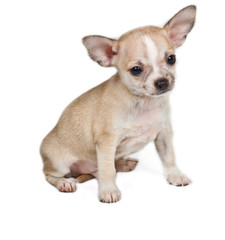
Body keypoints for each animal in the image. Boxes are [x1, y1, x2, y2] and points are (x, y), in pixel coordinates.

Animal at [40, 5, 197, 202]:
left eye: (171, 59)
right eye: (136, 70)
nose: (162, 82)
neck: (144, 103)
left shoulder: (163, 134)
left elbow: (169, 157)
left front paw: (175, 175)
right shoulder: (107, 143)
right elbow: (107, 170)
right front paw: (108, 190)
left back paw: (123, 164)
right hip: (59, 163)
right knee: (50, 175)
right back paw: (64, 183)